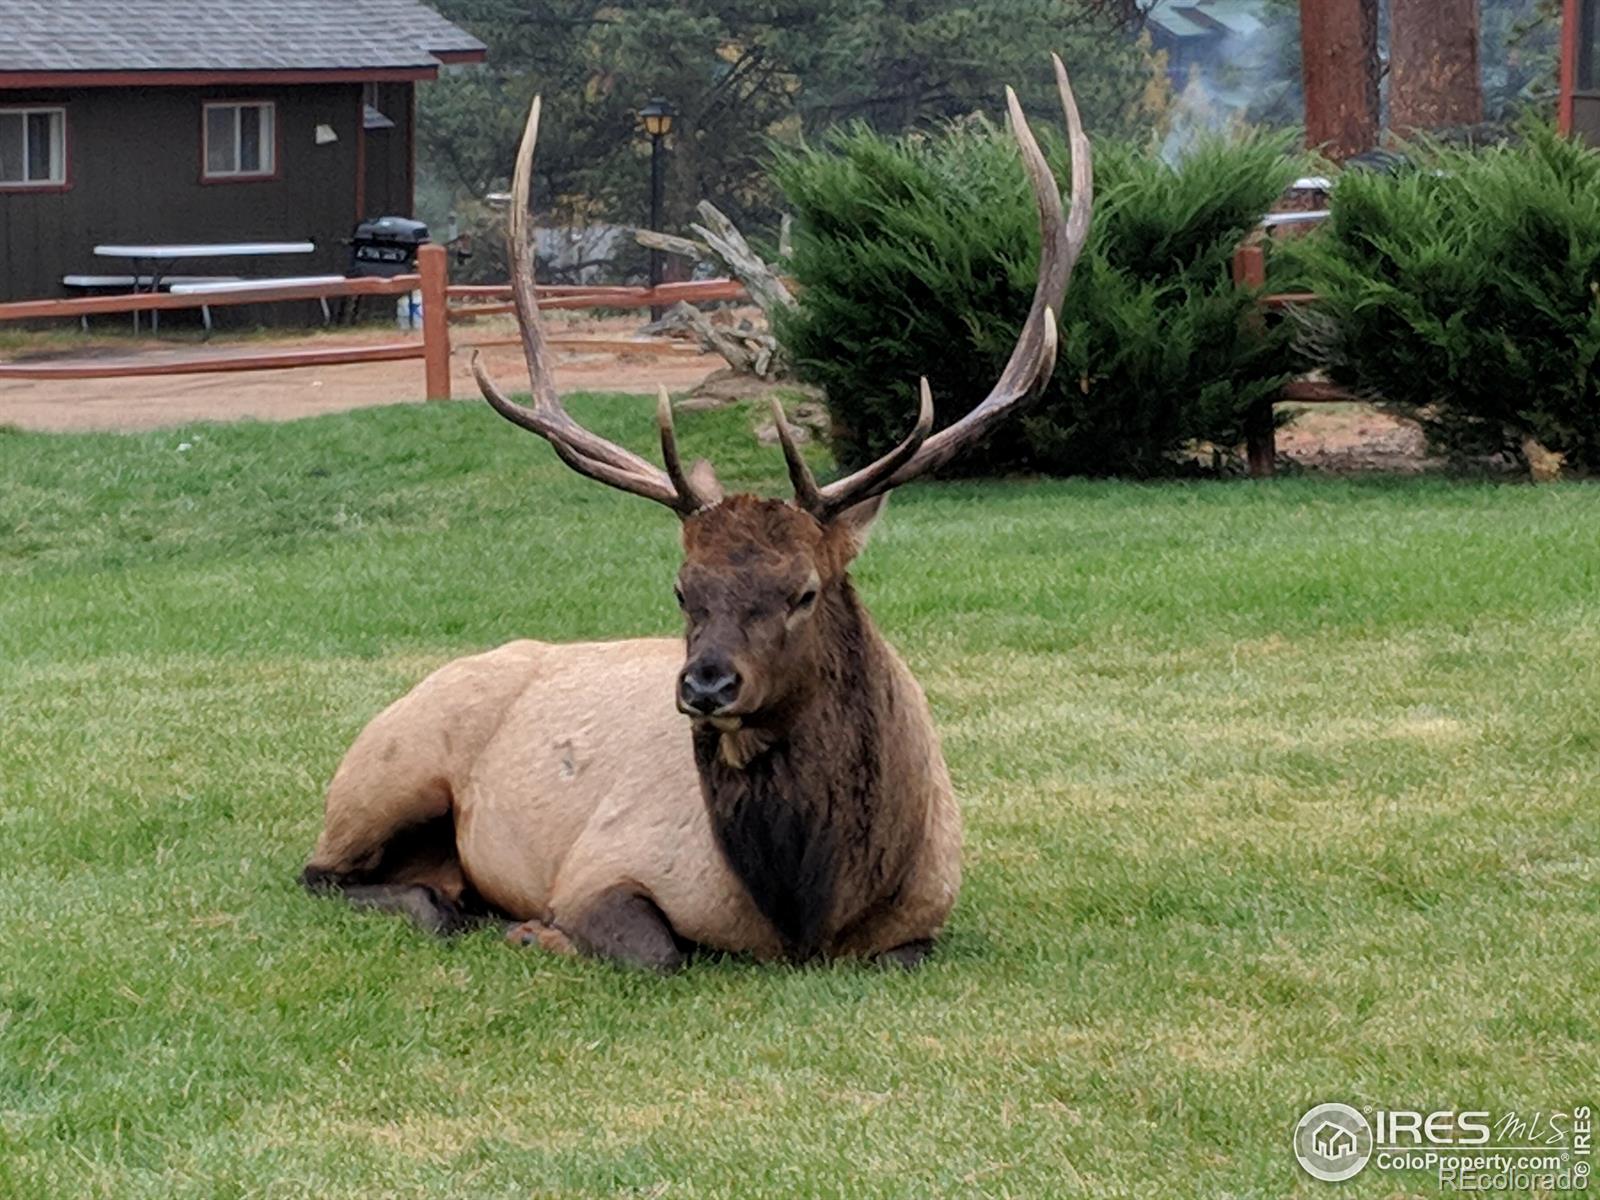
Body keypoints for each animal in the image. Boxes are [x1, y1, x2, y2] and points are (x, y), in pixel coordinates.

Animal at [302, 58, 1088, 979]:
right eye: (682, 589)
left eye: (805, 591)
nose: (705, 685)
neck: (805, 913)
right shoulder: (601, 863)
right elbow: (656, 949)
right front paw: (537, 930)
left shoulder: (927, 918)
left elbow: (907, 950)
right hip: (386, 769)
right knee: (326, 874)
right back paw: (454, 907)